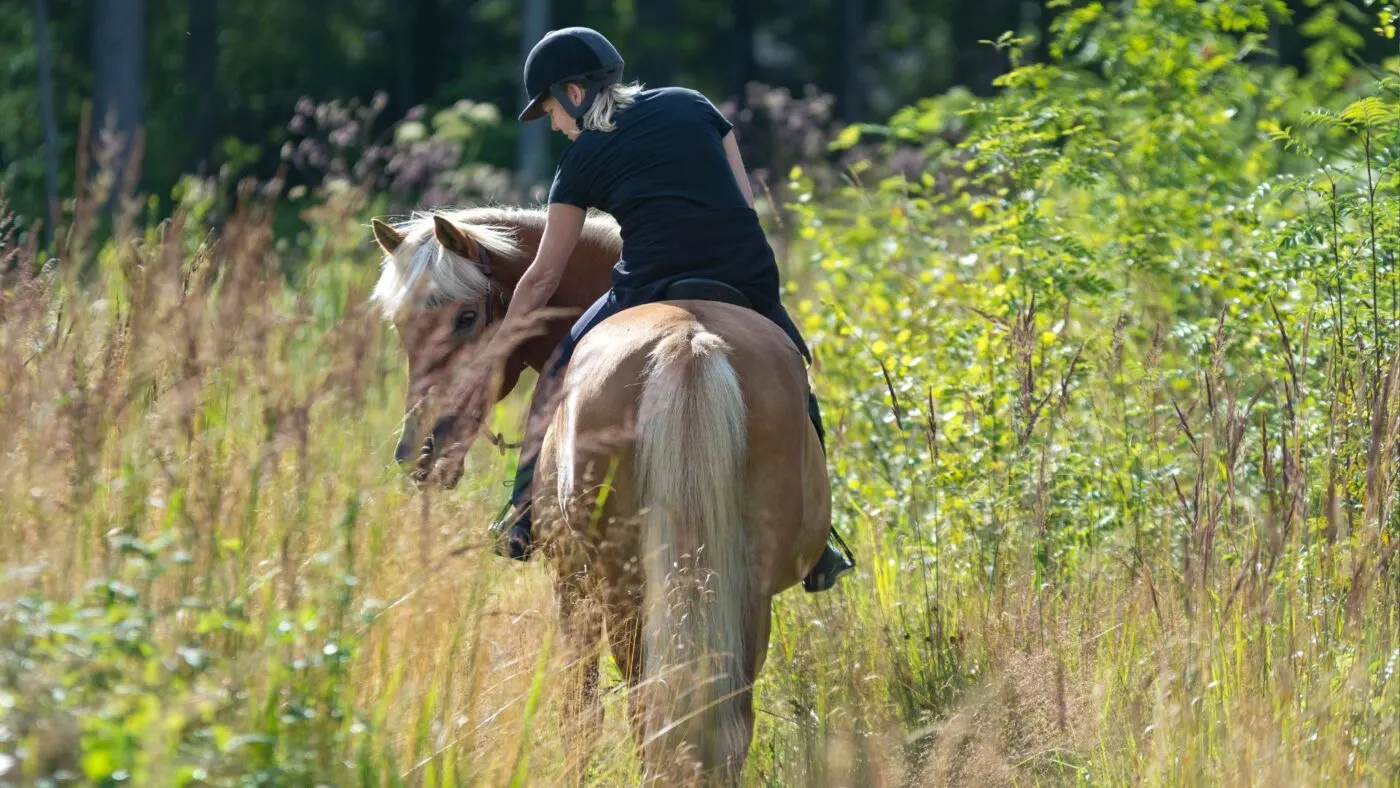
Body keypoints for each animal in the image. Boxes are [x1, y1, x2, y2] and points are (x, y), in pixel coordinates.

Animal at [369, 205, 833, 784]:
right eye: (401, 325)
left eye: (466, 317)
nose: (419, 452)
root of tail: (687, 344)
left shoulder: (570, 582)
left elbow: (579, 712)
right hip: (743, 588)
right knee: (724, 720)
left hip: (624, 590)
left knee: (644, 711)